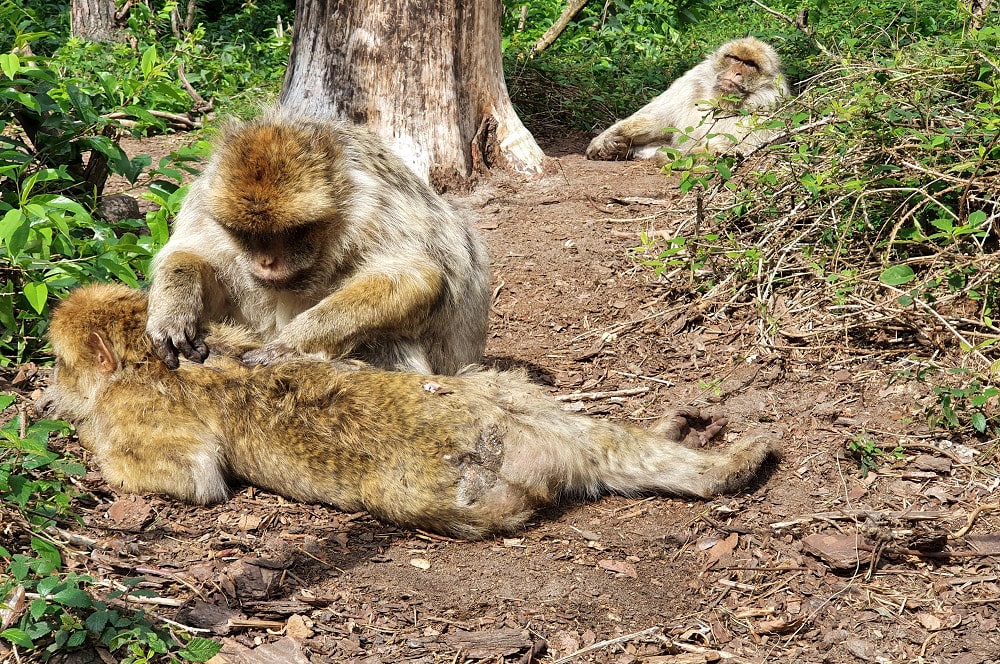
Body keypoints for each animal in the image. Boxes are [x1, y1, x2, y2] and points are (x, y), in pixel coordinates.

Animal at [41, 284, 780, 540]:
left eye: (60, 360)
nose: (48, 383)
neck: (140, 355)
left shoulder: (134, 406)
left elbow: (194, 475)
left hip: (459, 485)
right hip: (527, 415)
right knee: (517, 394)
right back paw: (703, 458)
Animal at [146, 109, 490, 378]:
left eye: (294, 232)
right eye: (246, 235)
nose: (266, 262)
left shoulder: (376, 209)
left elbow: (414, 276)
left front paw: (294, 342)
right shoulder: (203, 205)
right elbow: (191, 255)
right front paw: (173, 311)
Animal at [584, 37, 788, 161]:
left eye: (750, 64)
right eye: (734, 58)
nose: (736, 72)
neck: (719, 99)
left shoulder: (769, 106)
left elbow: (742, 148)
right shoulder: (692, 81)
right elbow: (658, 120)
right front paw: (605, 139)